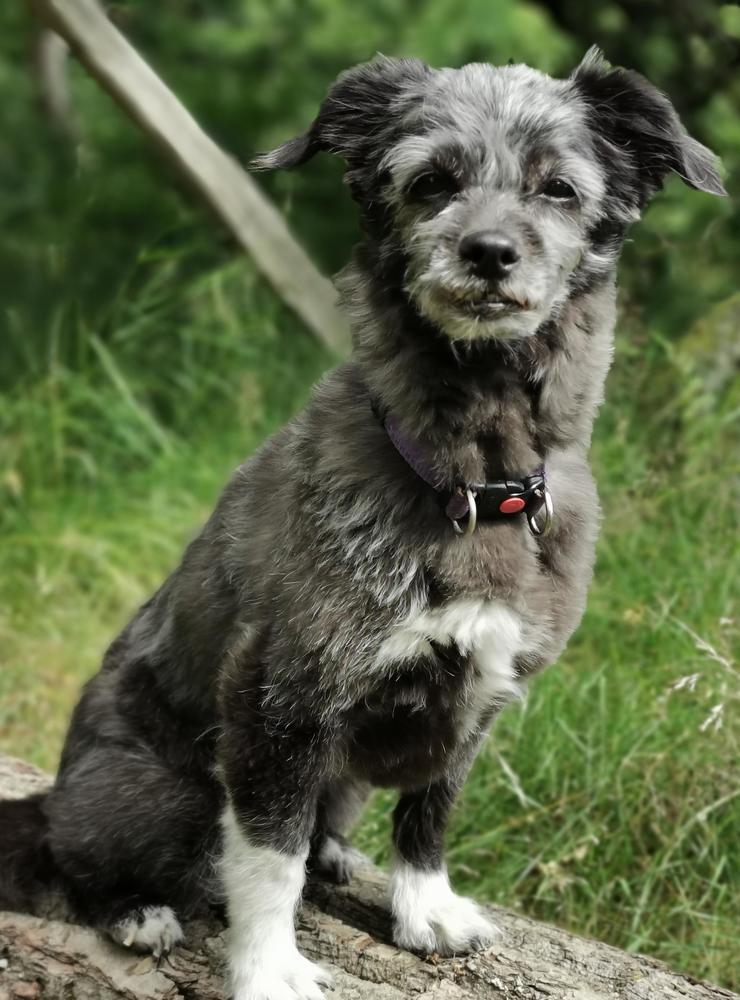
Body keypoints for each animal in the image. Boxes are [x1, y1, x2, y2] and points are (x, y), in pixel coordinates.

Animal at [0, 47, 724, 1000]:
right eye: (431, 181)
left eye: (559, 189)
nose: (488, 252)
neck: (471, 481)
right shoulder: (277, 698)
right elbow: (266, 855)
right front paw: (268, 965)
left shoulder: (479, 696)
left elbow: (431, 810)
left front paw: (425, 907)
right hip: (159, 792)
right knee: (72, 855)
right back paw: (135, 910)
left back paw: (336, 856)